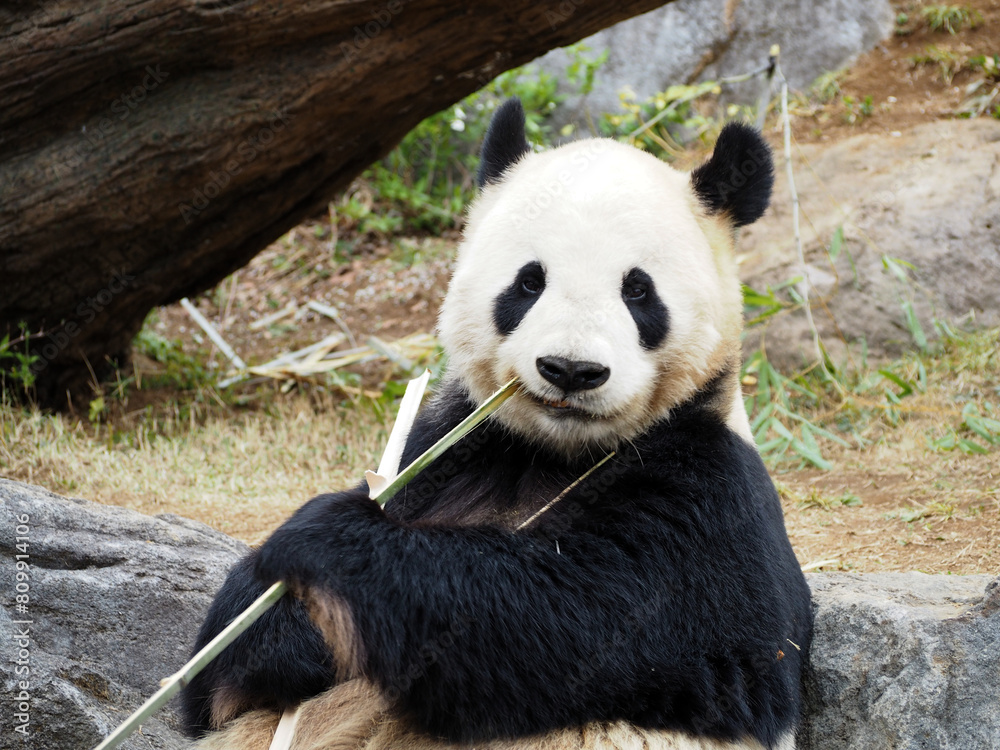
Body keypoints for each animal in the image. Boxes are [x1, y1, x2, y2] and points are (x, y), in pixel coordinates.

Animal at [182, 100, 812, 750]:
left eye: (638, 291)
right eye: (530, 281)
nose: (571, 370)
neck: (556, 454)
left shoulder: (708, 499)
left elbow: (563, 620)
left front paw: (325, 543)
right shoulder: (449, 453)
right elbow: (220, 675)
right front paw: (281, 620)